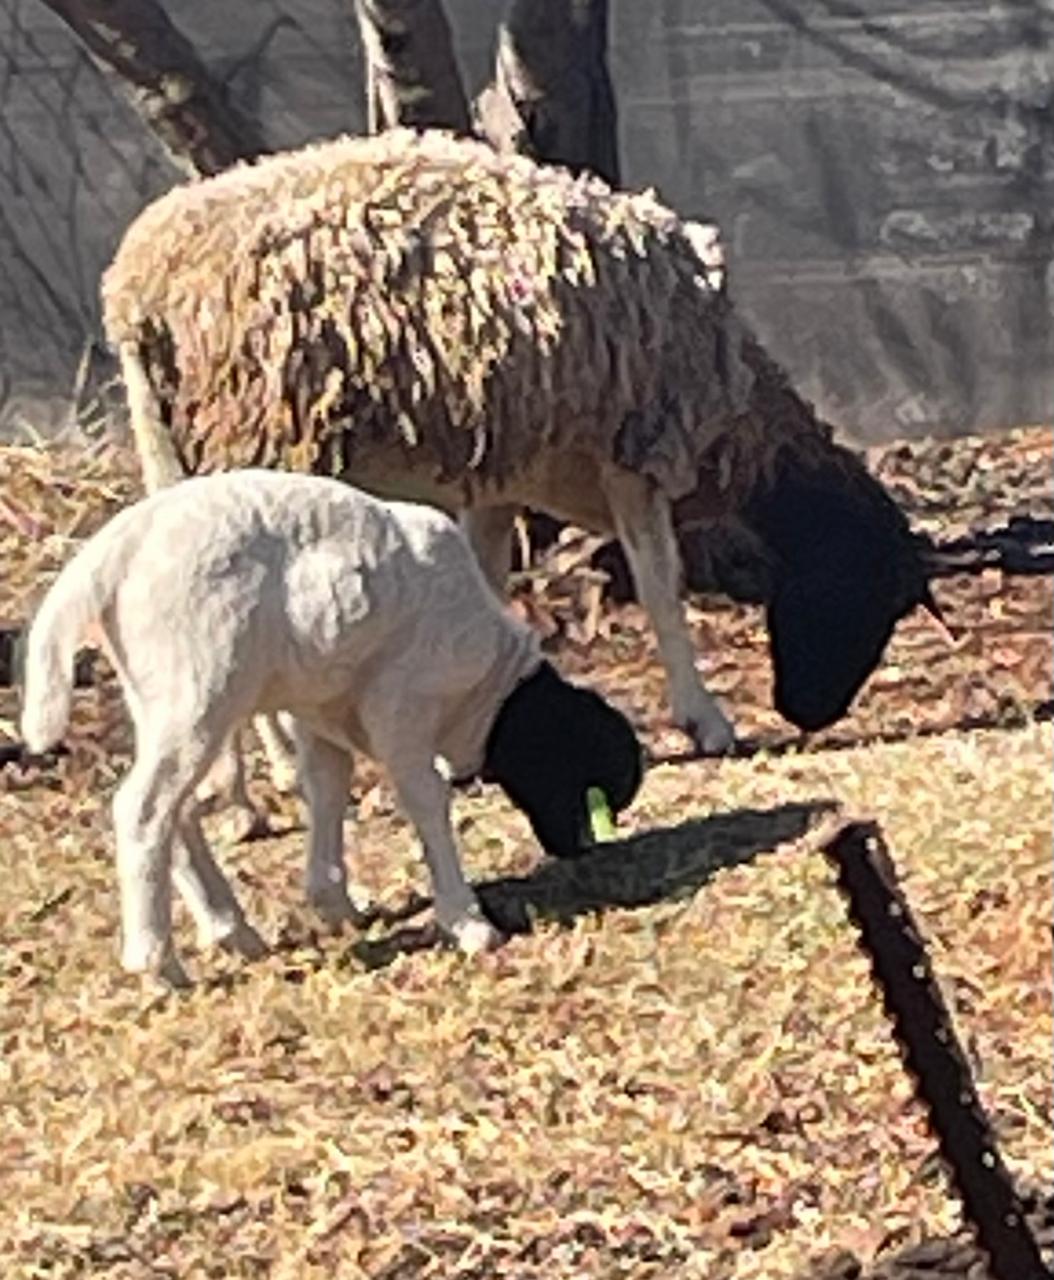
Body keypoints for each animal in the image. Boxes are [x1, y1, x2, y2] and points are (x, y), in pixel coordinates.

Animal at [19, 469, 643, 986]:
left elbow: (326, 789)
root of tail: (118, 547)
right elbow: (426, 800)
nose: (576, 851)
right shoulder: (401, 708)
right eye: (570, 764)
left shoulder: (319, 712)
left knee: (181, 809)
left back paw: (231, 930)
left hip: (163, 698)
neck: (487, 690)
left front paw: (333, 901)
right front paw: (468, 923)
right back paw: (159, 965)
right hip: (199, 691)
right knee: (145, 810)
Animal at [101, 127, 936, 807]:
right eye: (869, 591)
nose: (811, 714)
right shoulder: (632, 447)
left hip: (188, 451)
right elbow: (661, 586)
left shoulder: (501, 477)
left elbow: (492, 584)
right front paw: (707, 722)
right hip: (268, 437)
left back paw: (250, 782)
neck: (738, 423)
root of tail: (138, 286)